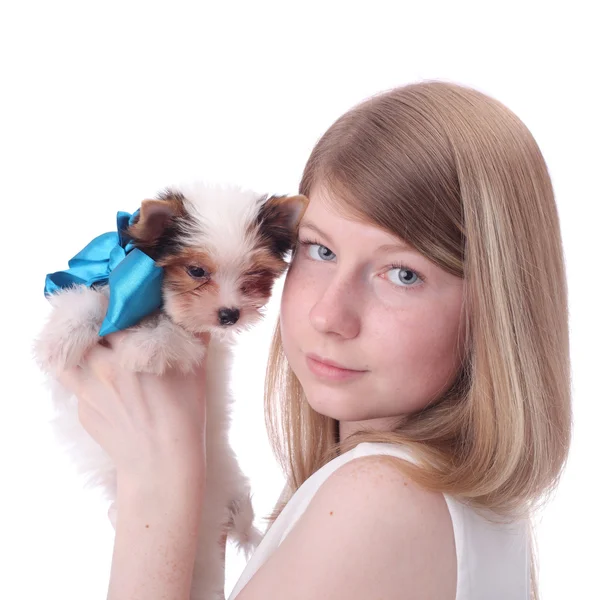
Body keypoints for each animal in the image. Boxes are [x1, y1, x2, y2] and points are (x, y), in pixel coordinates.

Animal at [33, 182, 308, 600]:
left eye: (255, 274)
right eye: (196, 271)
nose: (230, 314)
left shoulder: (200, 341)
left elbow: (178, 332)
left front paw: (146, 345)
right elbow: (93, 297)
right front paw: (62, 335)